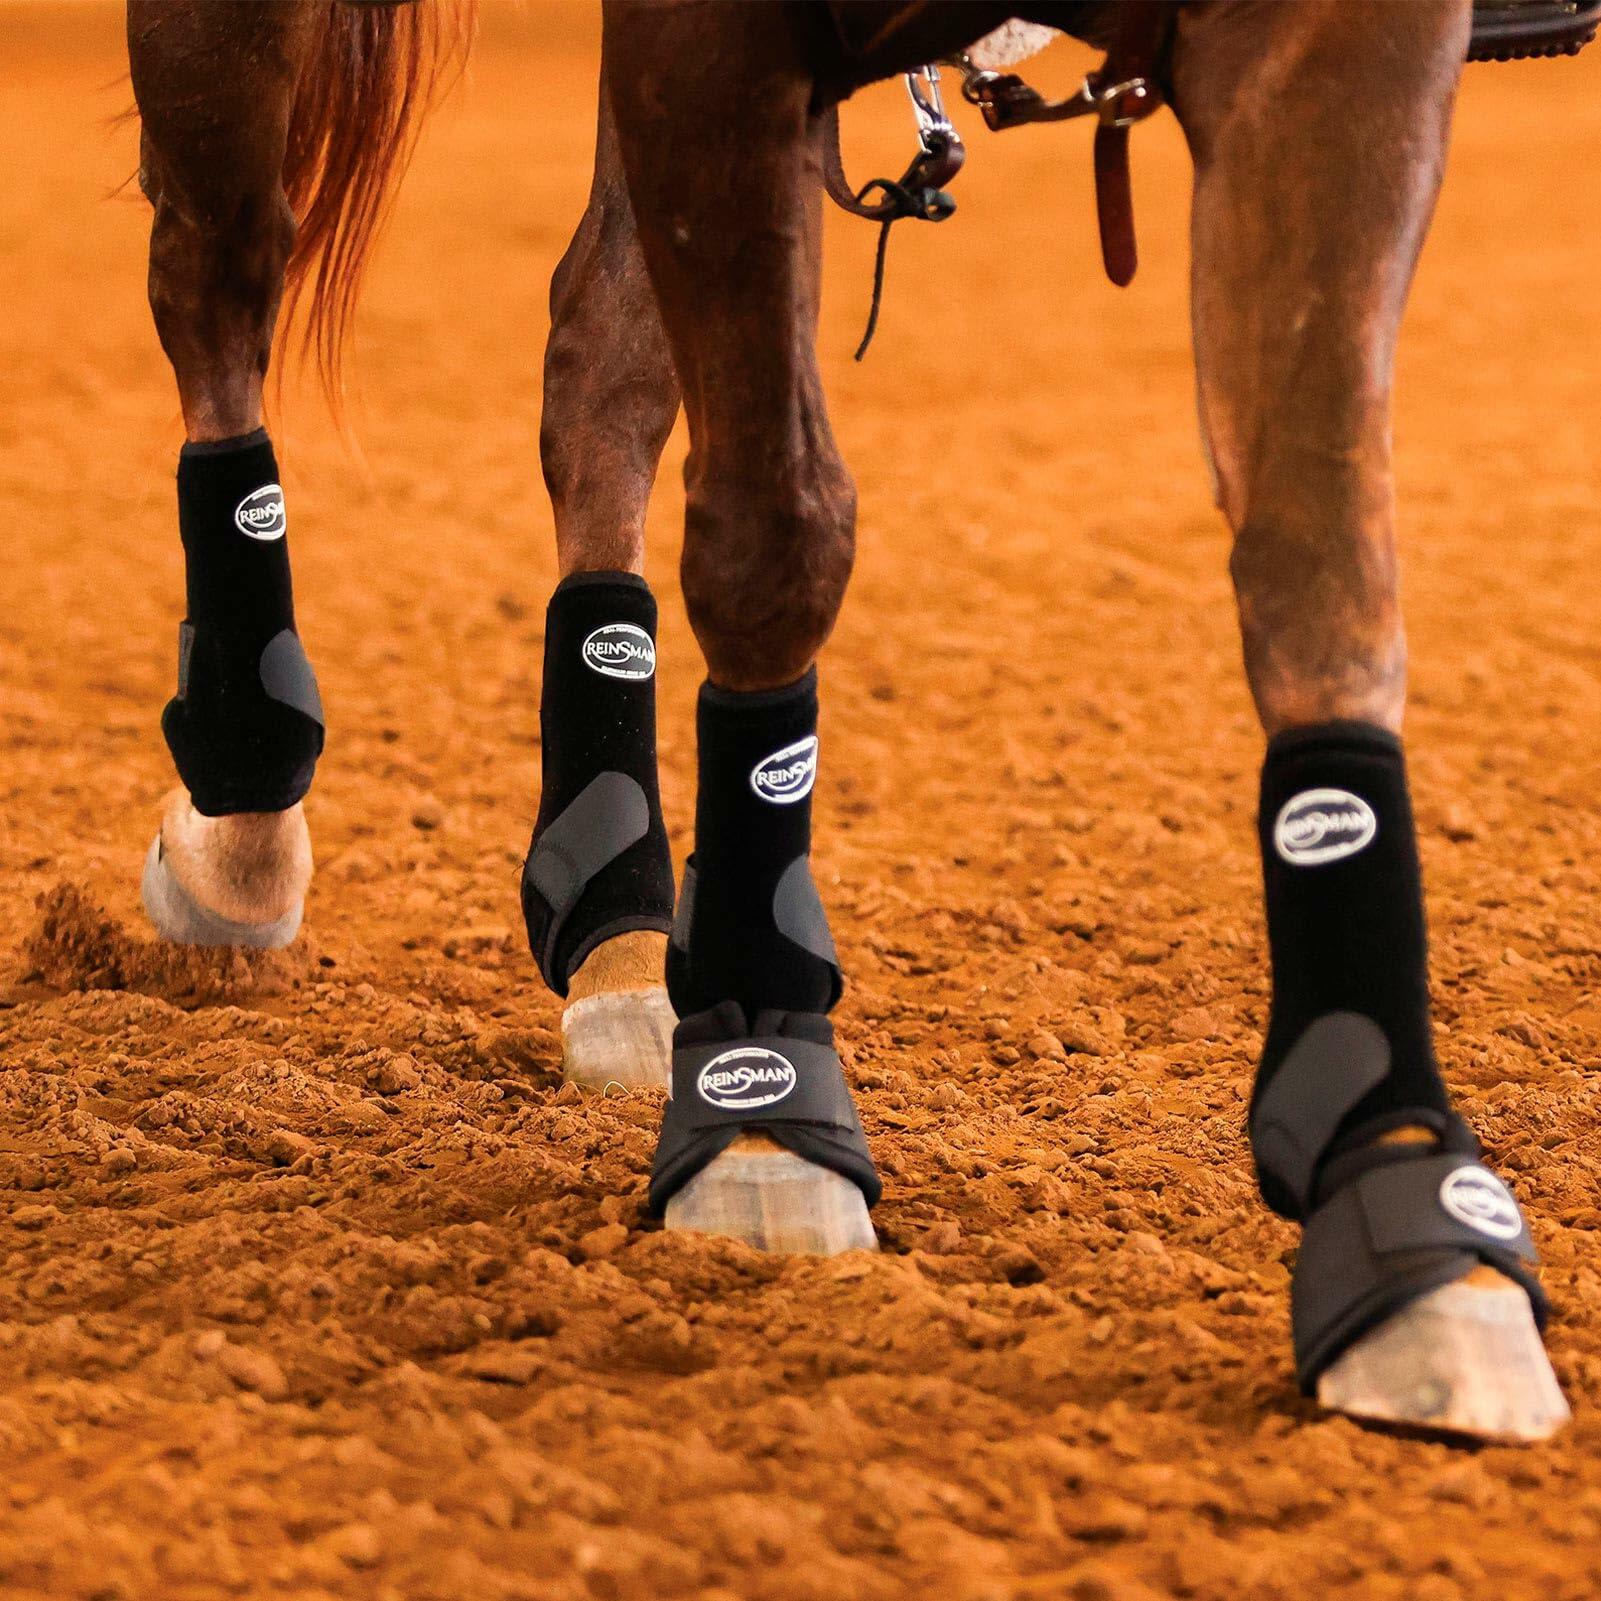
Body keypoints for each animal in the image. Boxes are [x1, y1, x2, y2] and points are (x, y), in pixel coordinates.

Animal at [125, 0, 1581, 1443]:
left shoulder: (1335, 40)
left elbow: (1322, 553)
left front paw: (1406, 1204)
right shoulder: (711, 47)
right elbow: (778, 532)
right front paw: (760, 1082)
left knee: (598, 359)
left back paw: (619, 913)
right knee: (219, 273)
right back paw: (245, 798)